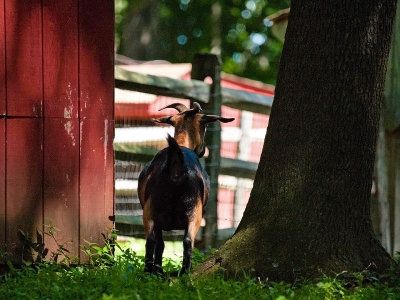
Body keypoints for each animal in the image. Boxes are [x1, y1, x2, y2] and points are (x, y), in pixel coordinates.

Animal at [138, 102, 234, 276]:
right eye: (205, 126)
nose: (203, 150)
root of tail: (176, 166)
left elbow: (160, 244)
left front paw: (158, 271)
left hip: (150, 211)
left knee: (151, 241)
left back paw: (150, 272)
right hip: (193, 213)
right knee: (187, 241)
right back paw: (183, 273)